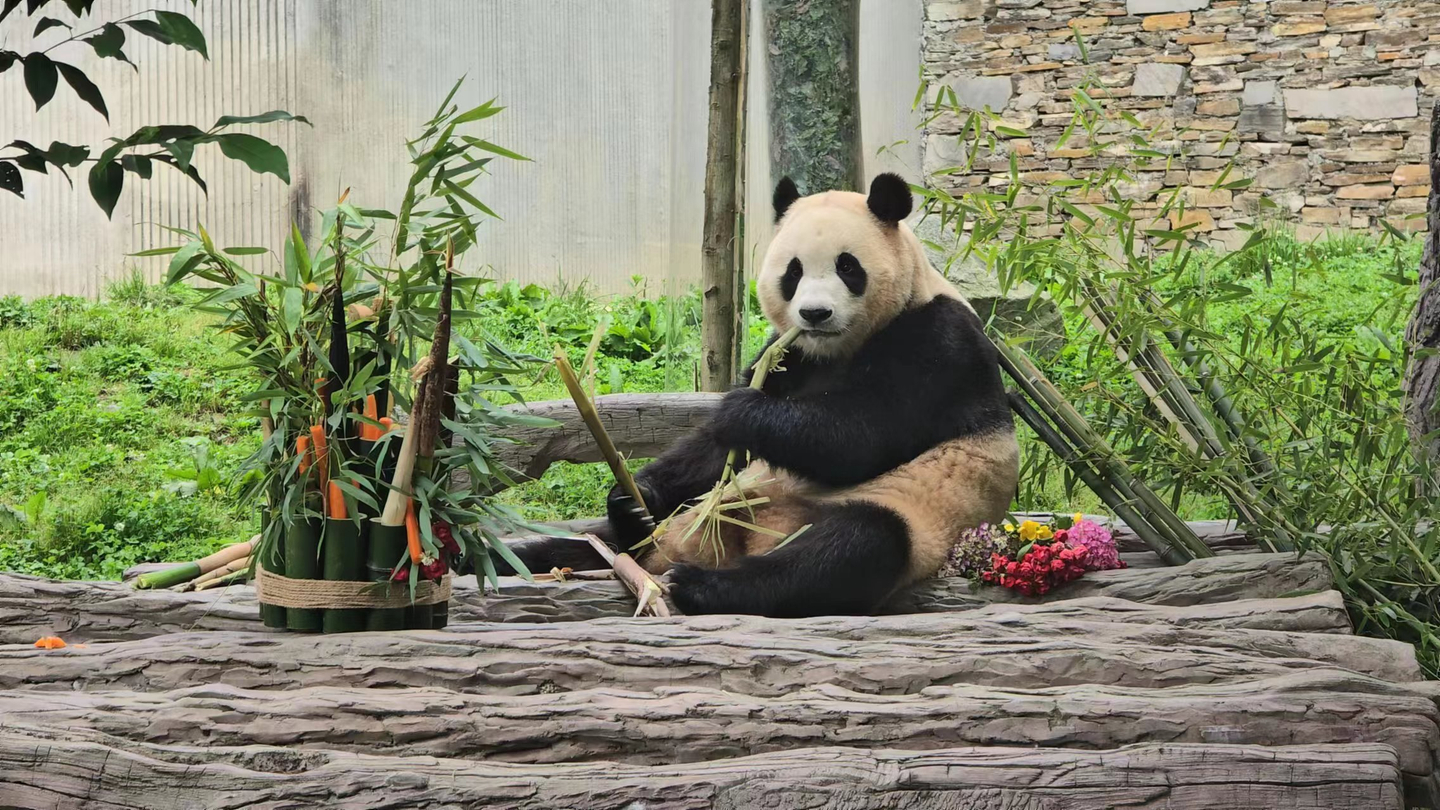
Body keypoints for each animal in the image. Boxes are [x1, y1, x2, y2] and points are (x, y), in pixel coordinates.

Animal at [502, 173, 1018, 617]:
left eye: (847, 266)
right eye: (793, 271)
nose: (814, 314)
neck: (838, 349)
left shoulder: (938, 342)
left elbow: (864, 435)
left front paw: (744, 411)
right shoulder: (788, 355)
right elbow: (713, 451)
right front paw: (636, 495)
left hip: (913, 514)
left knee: (849, 547)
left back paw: (703, 586)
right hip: (676, 525)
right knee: (589, 544)